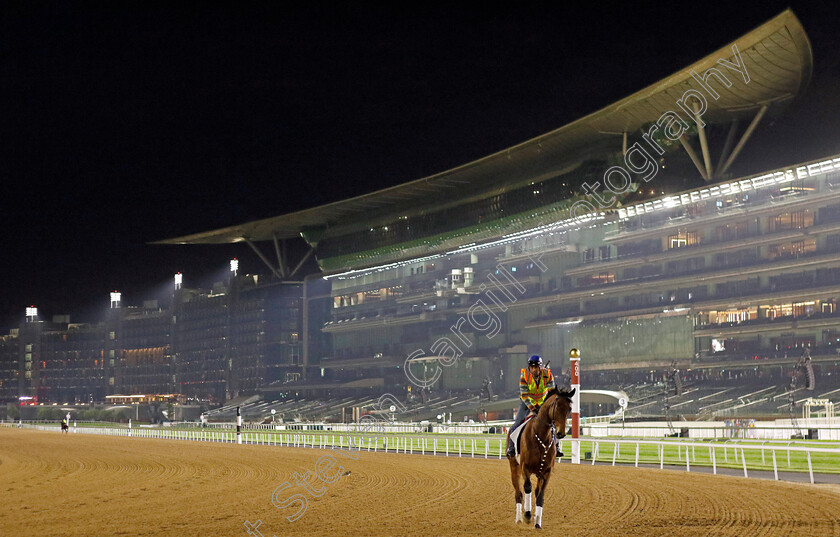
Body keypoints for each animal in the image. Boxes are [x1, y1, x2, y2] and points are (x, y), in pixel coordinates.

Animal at [508, 386, 576, 528]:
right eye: (557, 407)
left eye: (569, 409)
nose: (561, 433)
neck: (541, 437)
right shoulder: (525, 468)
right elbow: (527, 487)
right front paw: (527, 515)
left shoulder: (546, 472)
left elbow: (540, 495)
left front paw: (538, 522)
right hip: (514, 467)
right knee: (518, 494)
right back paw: (519, 519)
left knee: (535, 491)